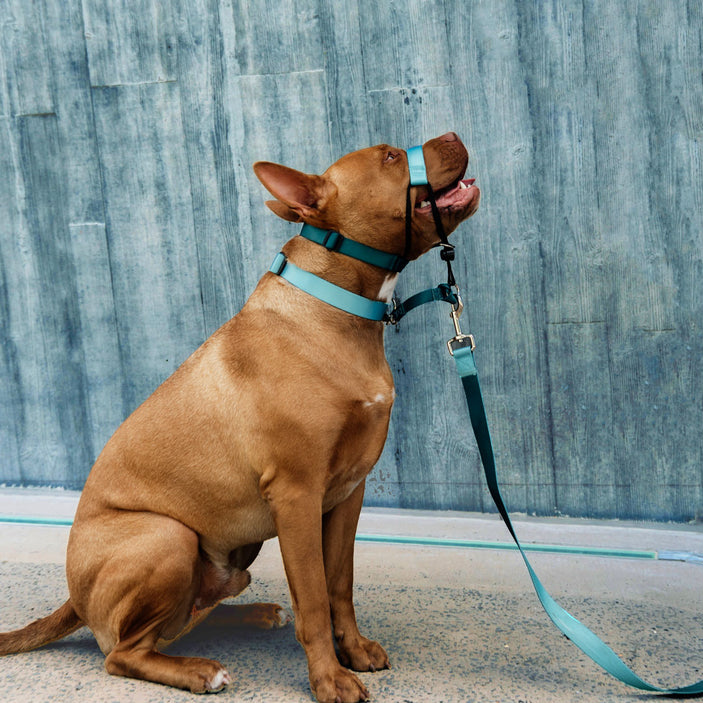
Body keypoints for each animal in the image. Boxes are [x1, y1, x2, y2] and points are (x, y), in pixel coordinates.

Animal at [0, 133, 478, 703]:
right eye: (389, 156)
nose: (454, 134)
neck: (332, 310)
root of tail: (74, 598)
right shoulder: (297, 495)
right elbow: (313, 597)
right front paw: (329, 678)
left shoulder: (347, 493)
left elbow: (339, 584)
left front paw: (354, 650)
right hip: (168, 538)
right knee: (124, 653)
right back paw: (199, 670)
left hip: (229, 560)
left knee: (188, 618)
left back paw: (253, 615)